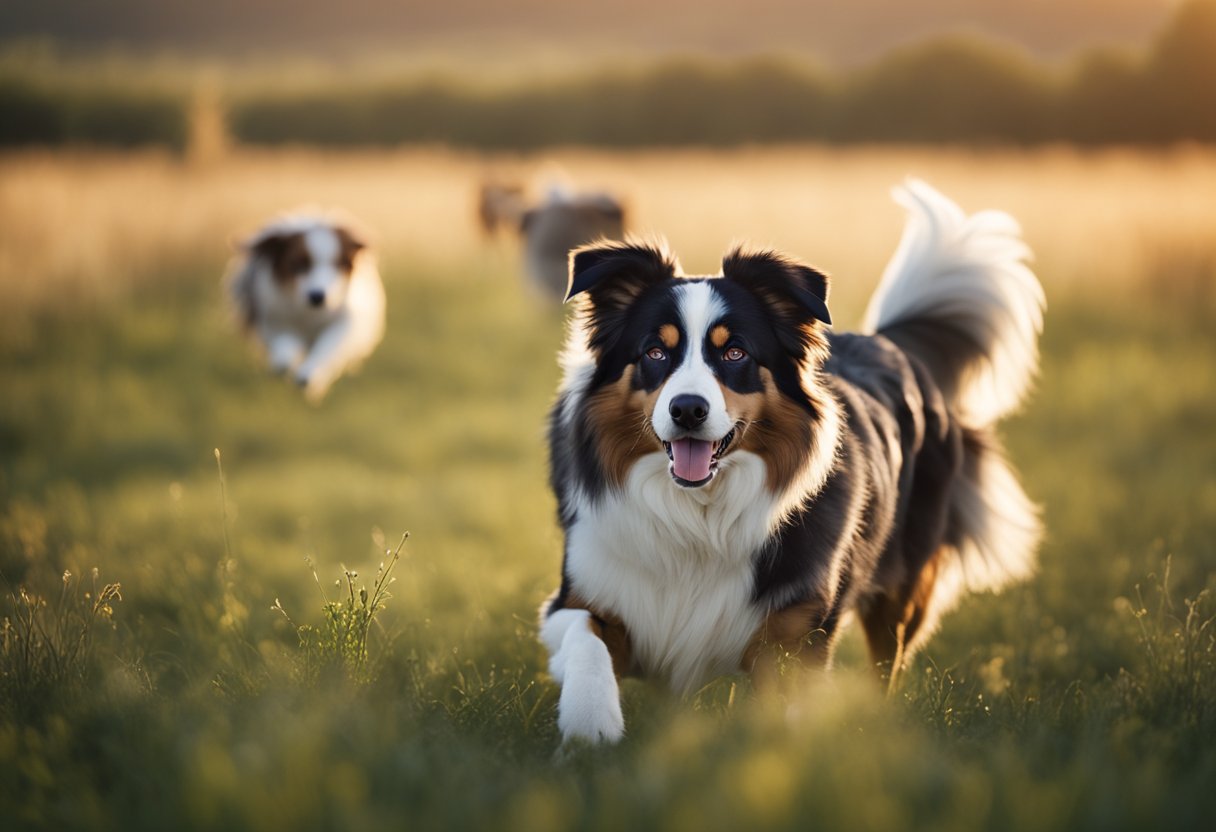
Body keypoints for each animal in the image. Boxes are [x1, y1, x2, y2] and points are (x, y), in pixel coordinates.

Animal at [226, 209, 381, 401]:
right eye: (298, 265)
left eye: (337, 265)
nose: (317, 296)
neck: (309, 313)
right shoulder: (274, 318)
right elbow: (285, 347)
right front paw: (283, 364)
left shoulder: (344, 321)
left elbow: (326, 347)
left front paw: (308, 374)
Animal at [542, 178, 1045, 744]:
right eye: (655, 352)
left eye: (735, 353)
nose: (688, 409)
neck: (696, 517)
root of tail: (885, 341)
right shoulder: (581, 596)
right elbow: (587, 639)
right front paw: (590, 725)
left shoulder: (795, 632)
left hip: (906, 583)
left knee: (887, 657)